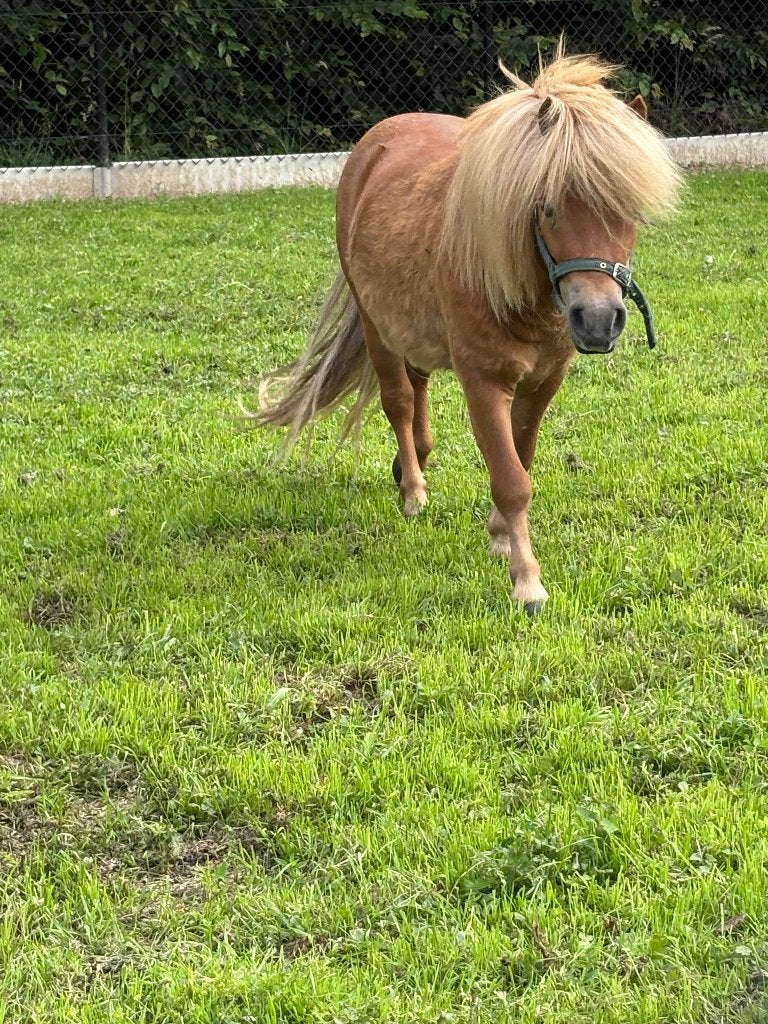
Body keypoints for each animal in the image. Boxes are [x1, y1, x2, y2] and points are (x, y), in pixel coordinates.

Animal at [251, 50, 682, 615]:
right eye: (547, 206)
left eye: (628, 209)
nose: (596, 318)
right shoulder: (483, 382)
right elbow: (511, 480)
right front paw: (527, 582)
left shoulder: (543, 384)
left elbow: (520, 461)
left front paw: (500, 538)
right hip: (376, 327)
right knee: (399, 400)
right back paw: (413, 490)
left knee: (419, 384)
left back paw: (414, 460)